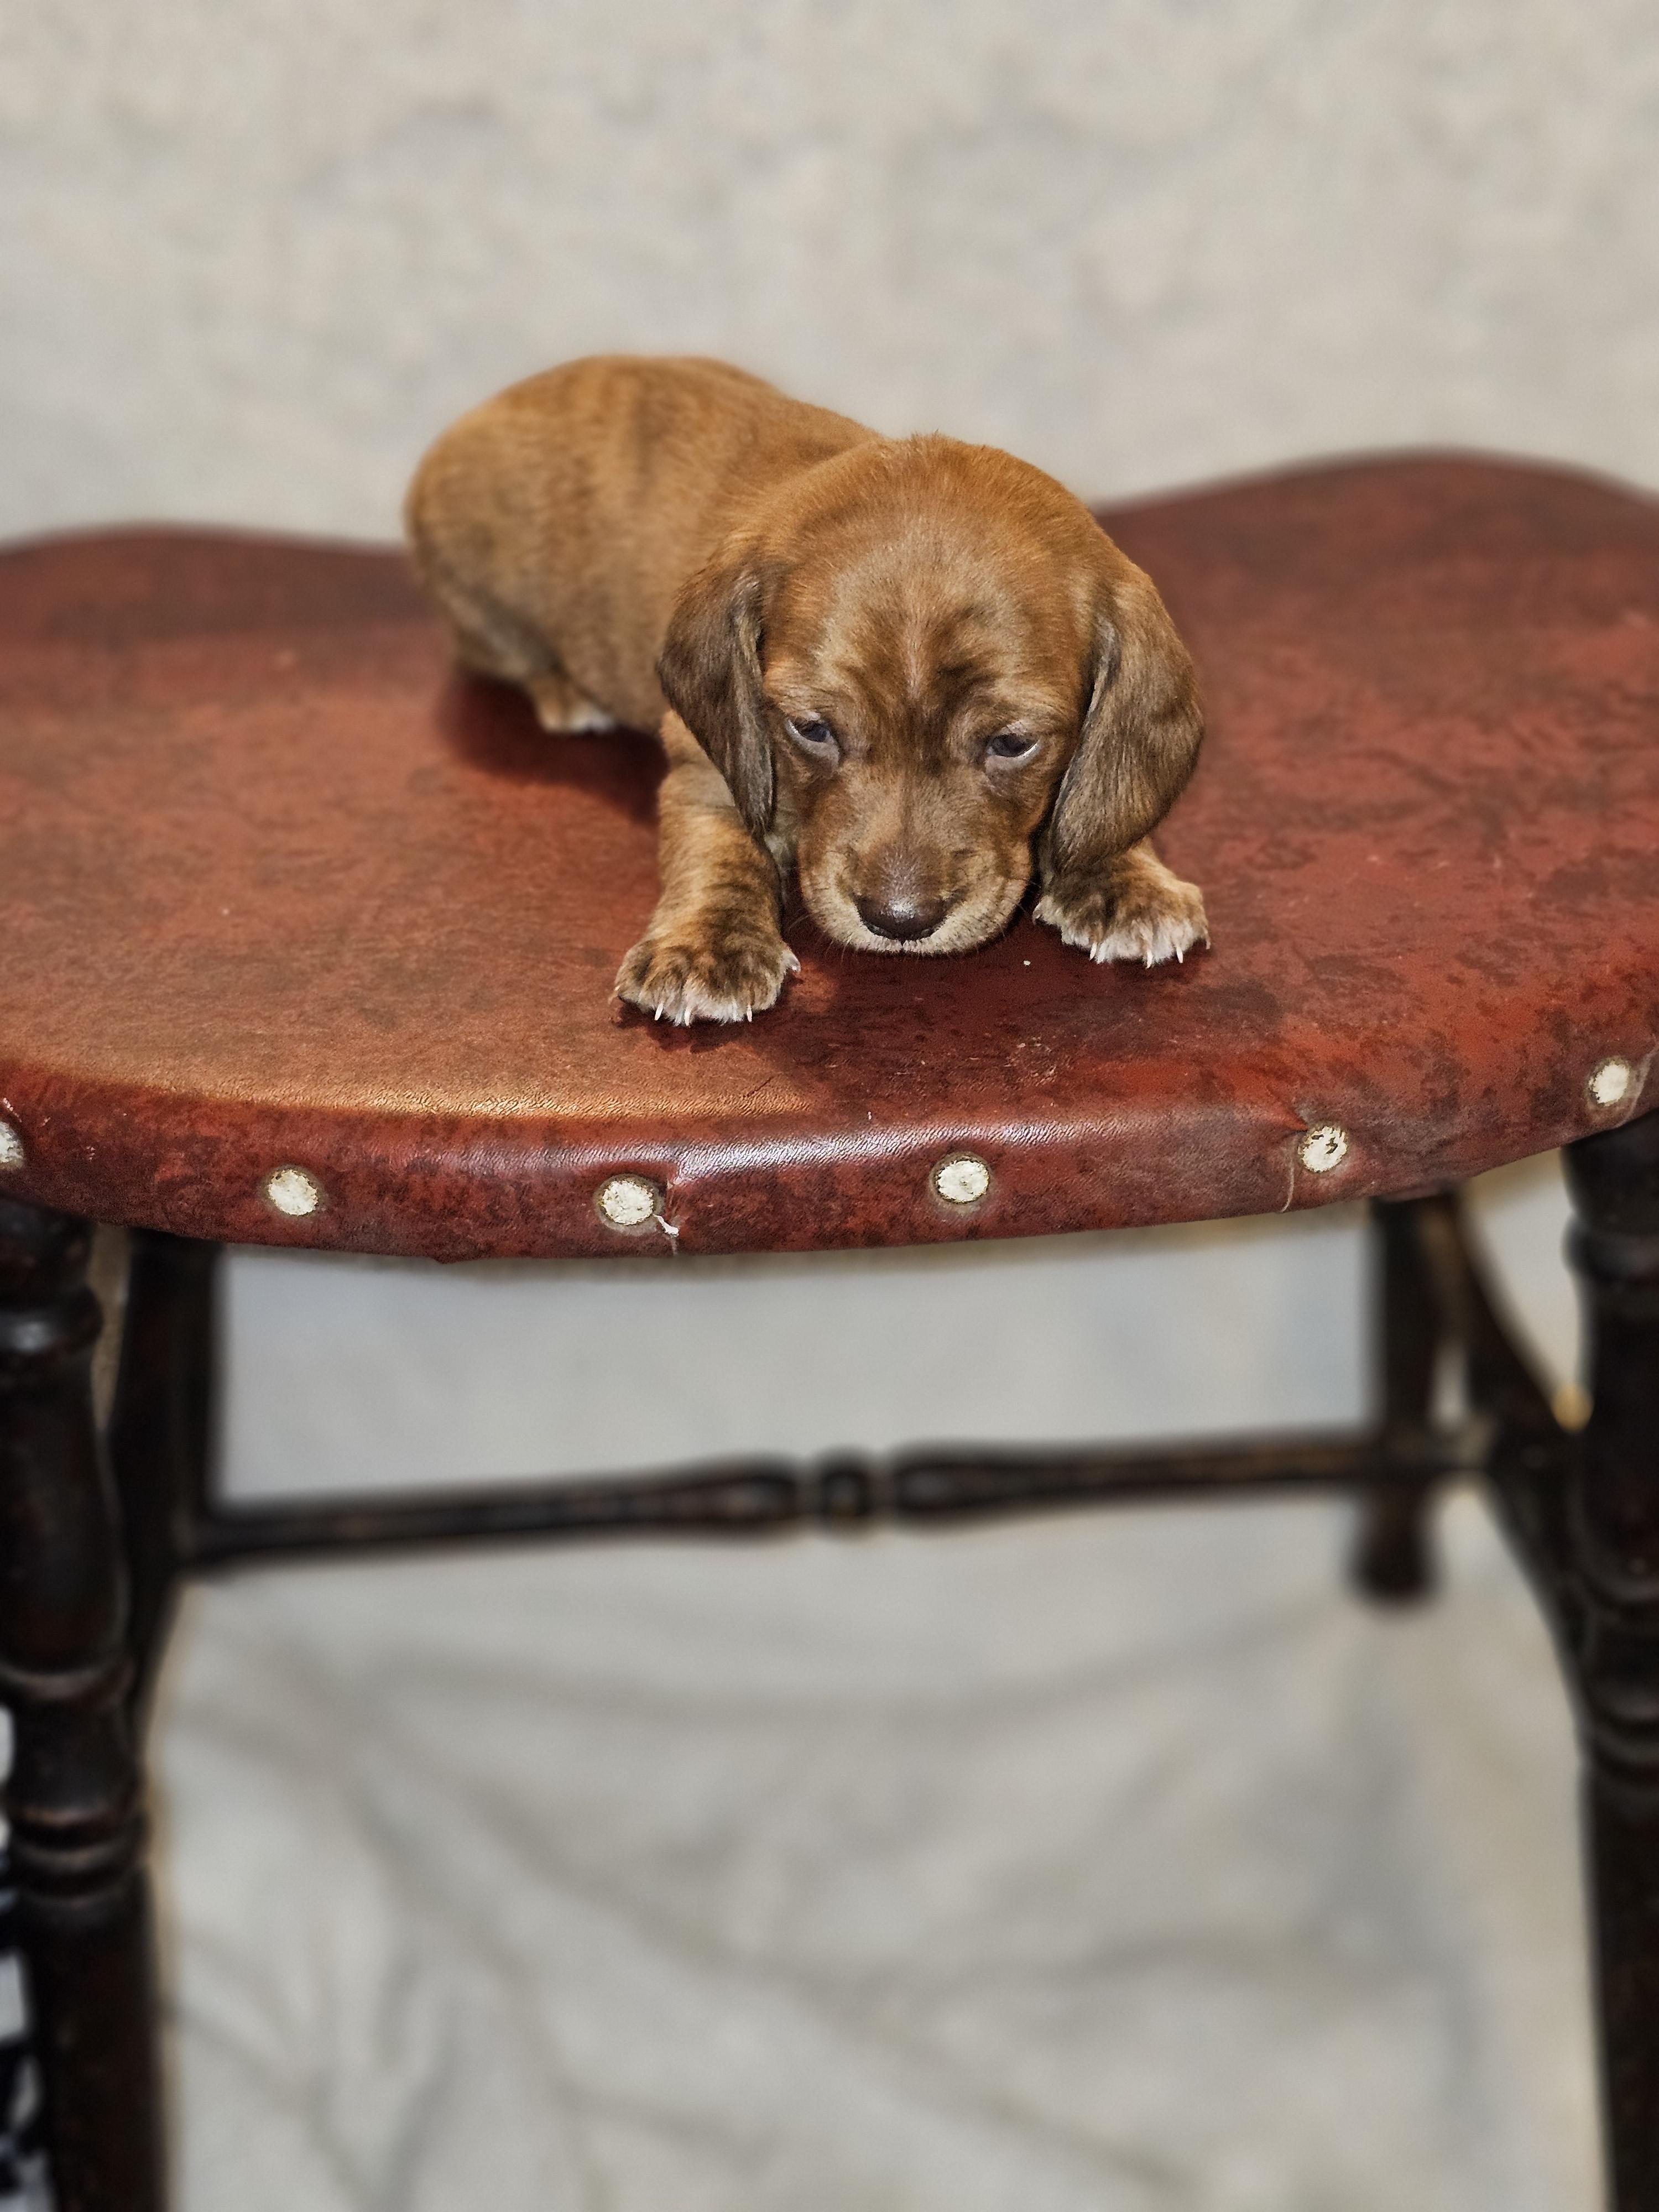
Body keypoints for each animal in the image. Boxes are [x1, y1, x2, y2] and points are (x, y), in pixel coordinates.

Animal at [405, 356, 1208, 1024]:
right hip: (483, 604)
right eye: (814, 729)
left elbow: (1101, 803)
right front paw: (707, 946)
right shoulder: (707, 755)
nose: (899, 921)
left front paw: (1126, 875)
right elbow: (717, 840)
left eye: (1012, 743)